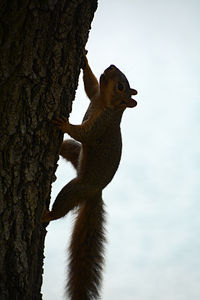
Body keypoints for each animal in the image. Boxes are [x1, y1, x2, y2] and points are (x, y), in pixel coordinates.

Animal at [42, 56, 137, 300]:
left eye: (121, 86)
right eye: (118, 75)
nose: (111, 66)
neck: (104, 103)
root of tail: (96, 191)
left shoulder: (100, 126)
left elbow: (85, 133)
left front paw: (65, 124)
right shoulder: (95, 93)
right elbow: (90, 85)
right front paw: (84, 59)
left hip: (76, 188)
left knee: (62, 206)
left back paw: (48, 214)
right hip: (76, 154)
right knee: (70, 147)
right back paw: (58, 150)